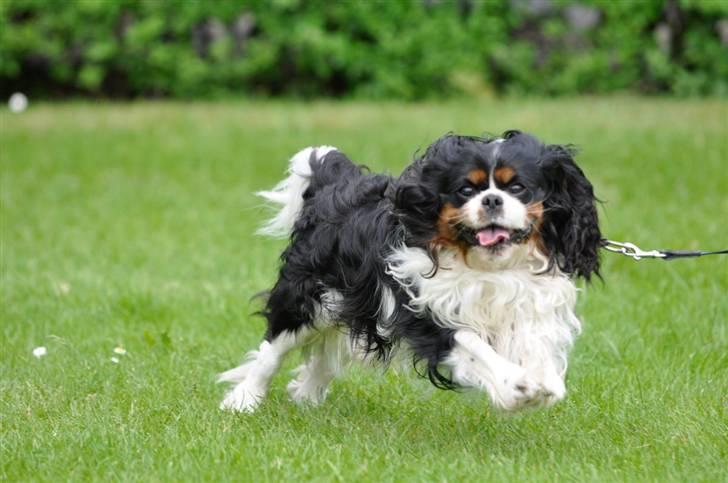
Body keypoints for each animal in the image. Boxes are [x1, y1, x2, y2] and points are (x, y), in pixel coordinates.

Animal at [218, 131, 604, 412]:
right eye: (466, 190)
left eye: (518, 188)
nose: (491, 200)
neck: (489, 266)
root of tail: (333, 188)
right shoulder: (426, 312)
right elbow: (473, 345)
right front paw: (515, 385)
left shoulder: (530, 307)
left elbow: (535, 349)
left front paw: (542, 382)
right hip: (312, 298)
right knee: (273, 349)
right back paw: (244, 400)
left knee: (324, 357)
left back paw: (307, 396)